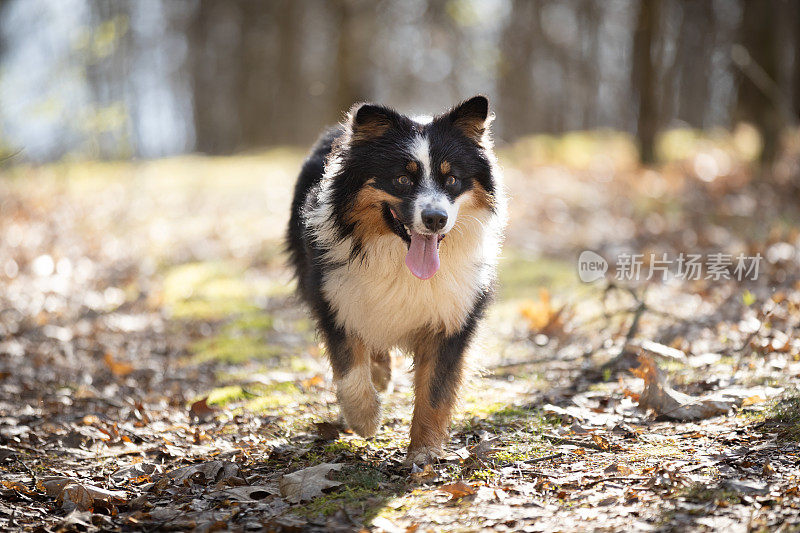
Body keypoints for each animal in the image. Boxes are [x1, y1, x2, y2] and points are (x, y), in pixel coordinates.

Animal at [284, 95, 504, 466]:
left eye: (452, 180)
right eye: (402, 180)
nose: (435, 219)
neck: (399, 258)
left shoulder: (453, 315)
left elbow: (434, 390)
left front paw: (424, 452)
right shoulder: (333, 295)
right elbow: (350, 368)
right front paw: (364, 417)